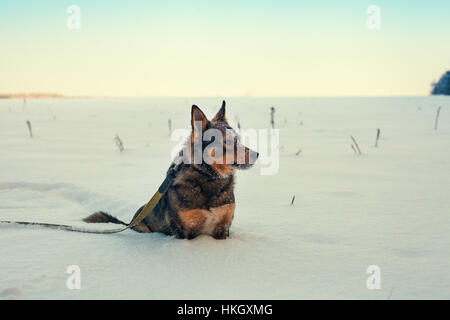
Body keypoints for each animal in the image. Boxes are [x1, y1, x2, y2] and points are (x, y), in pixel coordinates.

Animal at [82, 101, 258, 239]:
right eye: (227, 142)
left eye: (239, 139)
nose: (257, 154)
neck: (209, 178)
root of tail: (130, 222)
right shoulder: (185, 231)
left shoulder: (223, 227)